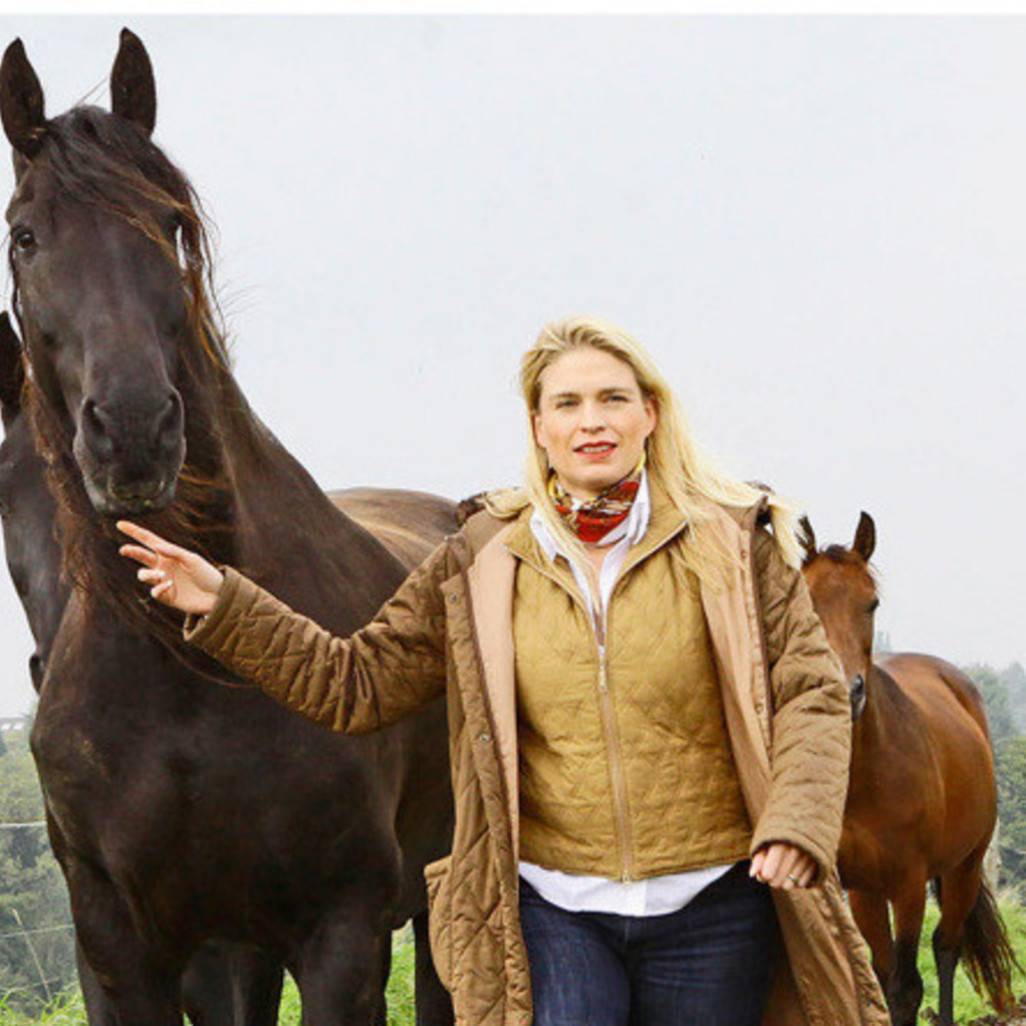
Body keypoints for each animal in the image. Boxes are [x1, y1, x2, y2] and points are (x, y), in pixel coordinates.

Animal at [0, 29, 456, 1025]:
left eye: (171, 225)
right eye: (24, 237)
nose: (134, 428)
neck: (184, 673)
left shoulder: (338, 935)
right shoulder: (128, 951)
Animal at [799, 511, 1017, 1026]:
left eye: (871, 602)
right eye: (808, 599)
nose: (848, 691)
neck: (867, 778)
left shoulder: (909, 884)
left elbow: (905, 987)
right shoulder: (859, 886)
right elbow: (877, 979)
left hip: (964, 867)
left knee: (947, 948)